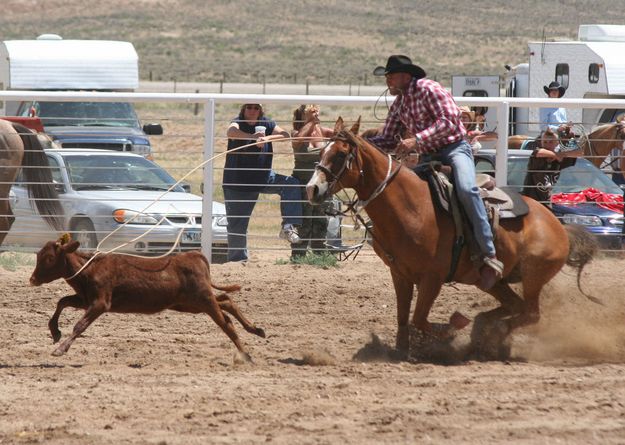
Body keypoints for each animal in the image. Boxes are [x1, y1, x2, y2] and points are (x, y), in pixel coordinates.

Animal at [30, 234, 264, 360]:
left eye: (49, 258)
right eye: (38, 255)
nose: (32, 279)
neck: (89, 268)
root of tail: (195, 255)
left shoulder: (100, 303)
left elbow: (80, 325)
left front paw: (61, 349)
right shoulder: (85, 300)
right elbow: (62, 302)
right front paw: (55, 331)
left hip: (202, 300)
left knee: (225, 321)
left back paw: (245, 354)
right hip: (189, 303)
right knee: (226, 301)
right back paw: (255, 330)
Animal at [304, 117, 596, 358]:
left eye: (341, 154)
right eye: (322, 151)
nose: (312, 189)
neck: (412, 206)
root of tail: (557, 226)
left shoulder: (432, 277)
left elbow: (419, 318)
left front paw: (450, 329)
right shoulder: (399, 273)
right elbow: (403, 317)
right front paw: (401, 350)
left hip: (534, 275)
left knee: (530, 313)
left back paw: (488, 334)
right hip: (491, 281)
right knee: (516, 306)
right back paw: (483, 328)